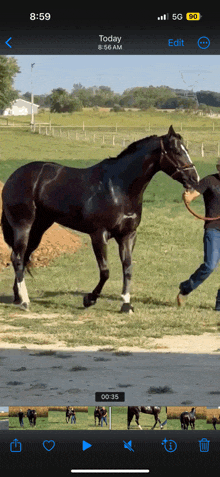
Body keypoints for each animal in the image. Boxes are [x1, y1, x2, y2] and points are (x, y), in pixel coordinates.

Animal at [0, 126, 199, 312]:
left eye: (186, 148)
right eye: (176, 151)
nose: (194, 179)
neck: (118, 187)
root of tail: (13, 177)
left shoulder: (128, 235)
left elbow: (127, 268)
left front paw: (126, 305)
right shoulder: (99, 235)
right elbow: (105, 272)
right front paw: (89, 299)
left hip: (39, 228)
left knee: (23, 257)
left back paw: (18, 297)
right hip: (23, 226)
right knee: (17, 257)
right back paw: (25, 301)